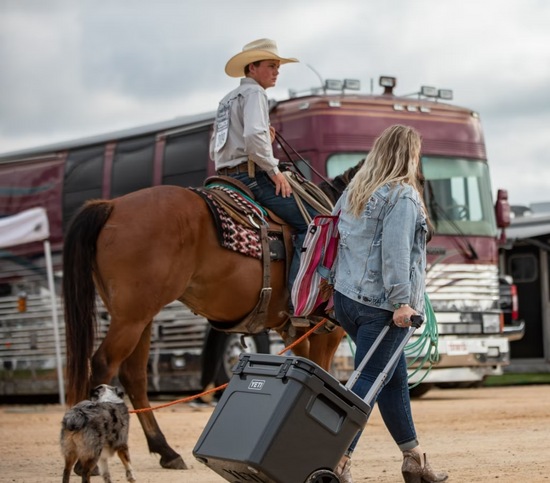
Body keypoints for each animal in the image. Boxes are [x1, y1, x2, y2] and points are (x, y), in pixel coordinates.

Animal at [62, 173, 356, 468]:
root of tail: (111, 205)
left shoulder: (295, 333)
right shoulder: (328, 331)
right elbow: (323, 376)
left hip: (140, 317)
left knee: (133, 376)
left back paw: (166, 450)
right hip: (130, 318)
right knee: (103, 364)